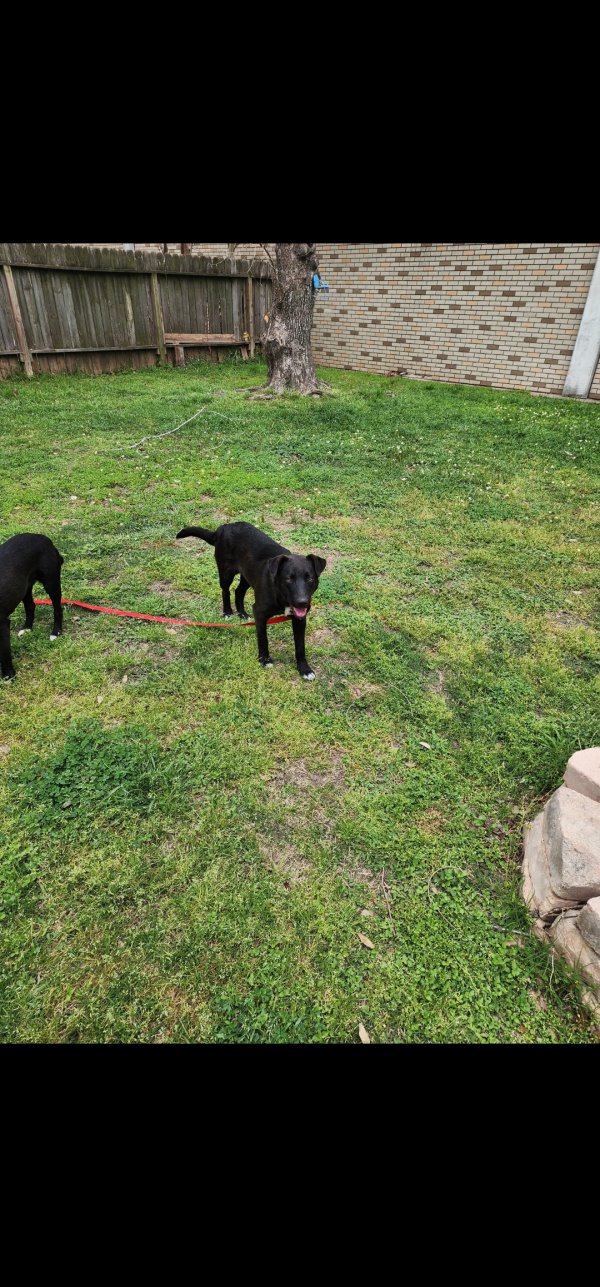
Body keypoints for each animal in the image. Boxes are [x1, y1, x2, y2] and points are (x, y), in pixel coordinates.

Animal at [0, 530, 64, 679]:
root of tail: (43, 538)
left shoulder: (2, 624)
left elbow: (5, 654)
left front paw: (9, 676)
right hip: (24, 587)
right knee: (30, 606)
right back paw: (27, 628)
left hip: (51, 582)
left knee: (58, 609)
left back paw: (56, 632)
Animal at [176, 517, 325, 679]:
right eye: (289, 579)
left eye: (310, 578)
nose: (302, 602)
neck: (280, 595)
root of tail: (223, 527)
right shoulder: (260, 613)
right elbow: (263, 639)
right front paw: (264, 660)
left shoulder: (299, 619)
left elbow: (300, 646)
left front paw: (304, 669)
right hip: (225, 572)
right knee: (226, 591)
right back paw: (227, 612)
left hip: (247, 576)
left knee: (238, 591)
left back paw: (242, 614)